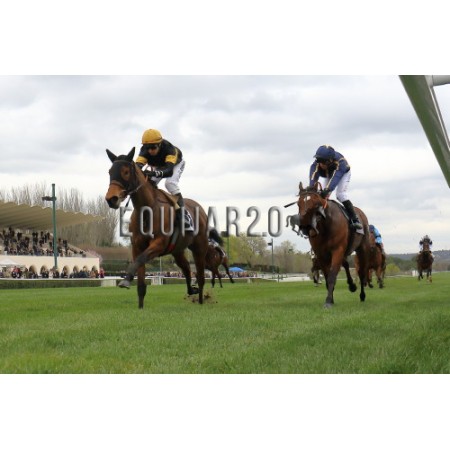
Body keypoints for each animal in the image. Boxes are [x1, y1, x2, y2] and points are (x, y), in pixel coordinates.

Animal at [105, 147, 210, 308]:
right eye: (110, 172)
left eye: (125, 172)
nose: (111, 199)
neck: (147, 209)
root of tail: (200, 208)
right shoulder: (137, 245)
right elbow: (140, 281)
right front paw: (140, 308)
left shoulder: (159, 244)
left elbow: (141, 259)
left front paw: (125, 280)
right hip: (177, 250)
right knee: (186, 267)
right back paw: (192, 289)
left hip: (199, 248)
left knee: (201, 277)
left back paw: (200, 301)